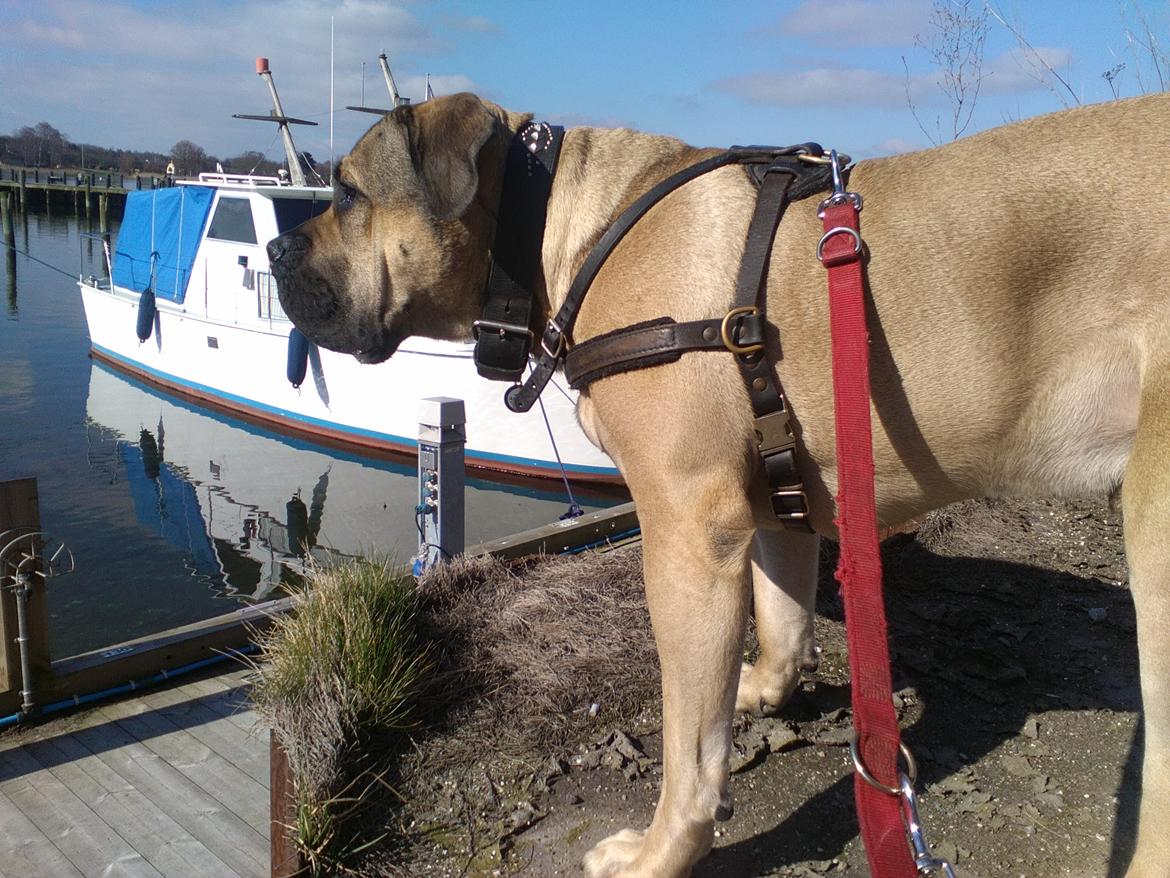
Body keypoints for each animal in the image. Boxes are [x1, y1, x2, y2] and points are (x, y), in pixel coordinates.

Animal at [267, 93, 1170, 875]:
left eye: (348, 191)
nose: (273, 250)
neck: (559, 228)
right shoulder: (773, 498)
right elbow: (783, 614)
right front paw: (765, 688)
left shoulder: (687, 535)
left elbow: (689, 745)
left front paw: (662, 852)